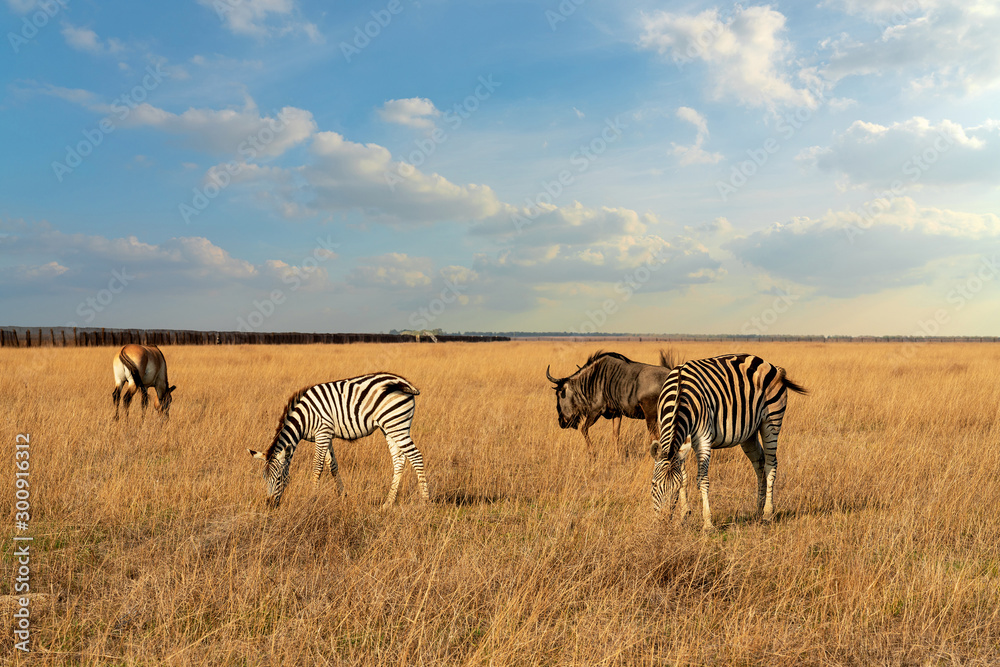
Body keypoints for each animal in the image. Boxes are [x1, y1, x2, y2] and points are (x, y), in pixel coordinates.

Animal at [247, 372, 430, 509]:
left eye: (278, 479)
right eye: (264, 479)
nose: (270, 505)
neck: (304, 417)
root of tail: (402, 381)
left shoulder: (322, 432)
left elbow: (317, 467)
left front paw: (312, 498)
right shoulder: (325, 435)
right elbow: (333, 466)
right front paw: (343, 496)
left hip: (396, 425)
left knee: (416, 457)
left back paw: (425, 501)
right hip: (390, 428)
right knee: (399, 460)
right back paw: (388, 503)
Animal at [650, 354, 807, 530]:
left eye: (674, 489)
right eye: (653, 485)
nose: (663, 523)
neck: (679, 395)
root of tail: (769, 364)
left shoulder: (703, 437)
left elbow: (702, 480)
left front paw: (708, 523)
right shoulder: (681, 442)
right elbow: (684, 477)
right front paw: (684, 516)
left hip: (771, 421)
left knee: (770, 465)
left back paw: (767, 514)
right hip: (749, 433)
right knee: (759, 463)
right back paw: (758, 510)